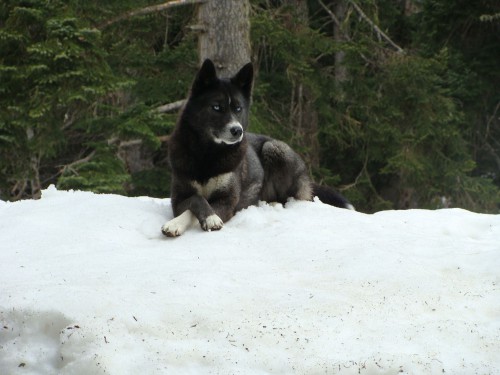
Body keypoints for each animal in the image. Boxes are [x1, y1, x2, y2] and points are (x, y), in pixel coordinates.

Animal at [160, 59, 352, 238]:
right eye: (216, 107)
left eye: (238, 108)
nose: (237, 131)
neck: (208, 154)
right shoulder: (178, 199)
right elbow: (196, 199)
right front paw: (175, 223)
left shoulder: (228, 201)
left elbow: (199, 207)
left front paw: (210, 218)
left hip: (274, 149)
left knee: (289, 198)